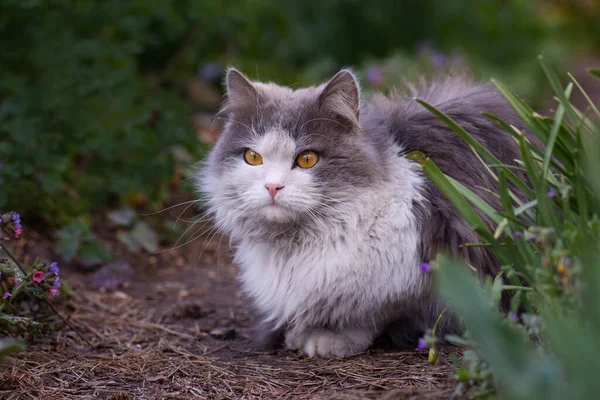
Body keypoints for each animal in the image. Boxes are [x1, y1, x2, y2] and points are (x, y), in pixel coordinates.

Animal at [197, 67, 524, 358]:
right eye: (253, 157)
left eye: (307, 159)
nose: (273, 187)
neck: (298, 244)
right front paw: (300, 334)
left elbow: (370, 315)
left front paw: (329, 339)